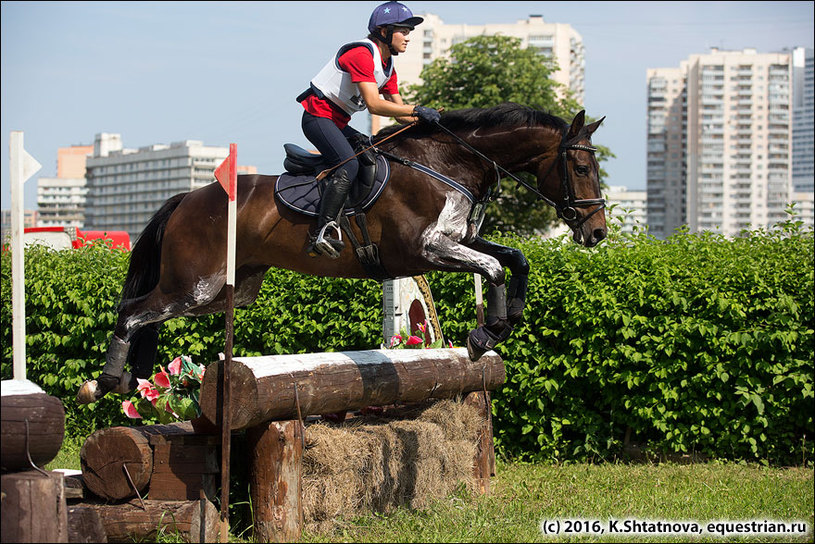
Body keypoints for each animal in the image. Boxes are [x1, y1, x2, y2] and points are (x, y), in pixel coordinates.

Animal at [76, 102, 604, 402]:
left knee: (149, 317)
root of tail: (187, 197)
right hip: (194, 285)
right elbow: (494, 267)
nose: (597, 232)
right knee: (131, 311)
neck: (445, 163)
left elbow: (515, 259)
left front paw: (502, 323)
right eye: (580, 167)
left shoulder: (460, 241)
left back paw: (131, 381)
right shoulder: (426, 249)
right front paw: (484, 334)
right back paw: (104, 383)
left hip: (226, 291)